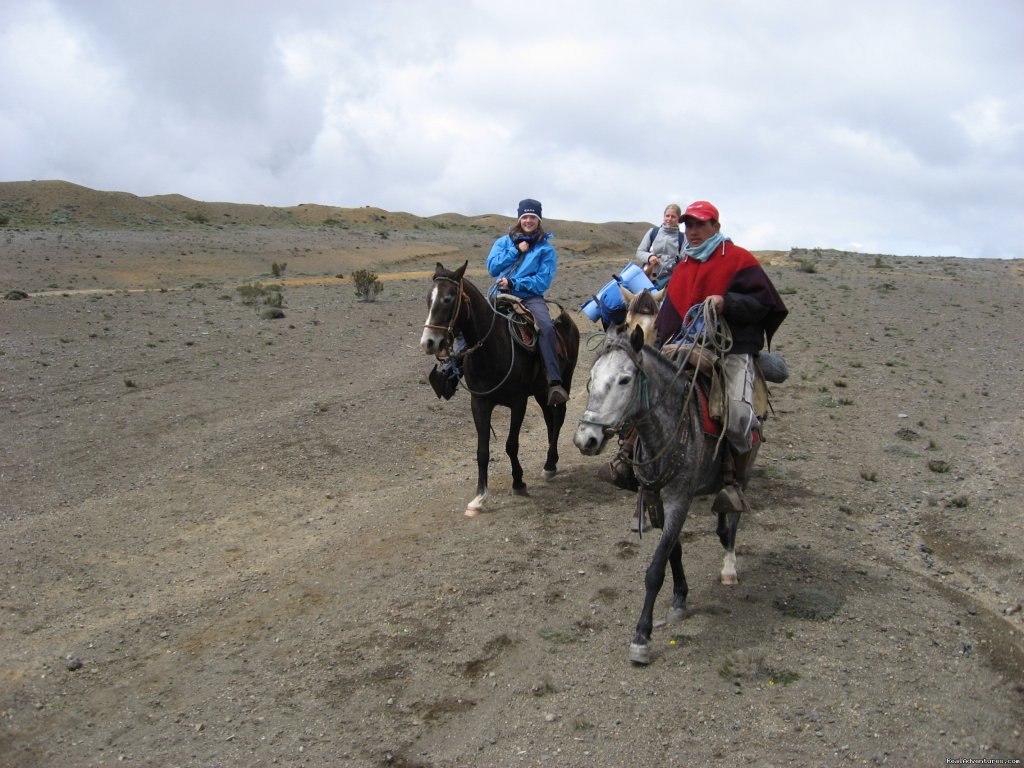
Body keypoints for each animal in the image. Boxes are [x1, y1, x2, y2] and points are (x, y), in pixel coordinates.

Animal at [415, 262, 577, 520]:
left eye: (448, 299)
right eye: (428, 299)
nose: (429, 343)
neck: (491, 349)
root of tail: (567, 317)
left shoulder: (518, 402)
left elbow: (511, 444)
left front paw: (519, 482)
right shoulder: (479, 403)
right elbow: (482, 451)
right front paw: (479, 497)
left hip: (564, 381)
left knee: (559, 417)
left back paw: (550, 465)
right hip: (541, 392)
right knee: (549, 419)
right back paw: (551, 461)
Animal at [573, 325, 757, 667]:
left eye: (625, 379)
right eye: (591, 376)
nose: (585, 439)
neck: (664, 432)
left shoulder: (679, 501)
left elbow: (656, 568)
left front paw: (641, 637)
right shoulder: (655, 500)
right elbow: (674, 551)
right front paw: (679, 598)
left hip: (745, 464)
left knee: (733, 515)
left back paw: (729, 565)